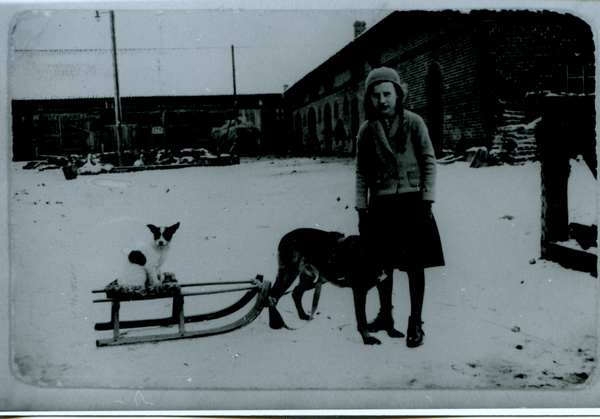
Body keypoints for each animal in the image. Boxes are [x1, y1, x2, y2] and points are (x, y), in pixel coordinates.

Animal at [268, 228, 404, 346]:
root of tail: (286, 236)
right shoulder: (359, 290)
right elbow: (362, 318)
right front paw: (367, 339)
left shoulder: (385, 284)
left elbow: (387, 308)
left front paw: (391, 332)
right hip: (288, 273)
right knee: (273, 296)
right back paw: (274, 323)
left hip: (308, 276)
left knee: (296, 292)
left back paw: (303, 315)